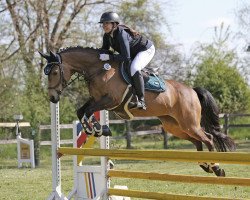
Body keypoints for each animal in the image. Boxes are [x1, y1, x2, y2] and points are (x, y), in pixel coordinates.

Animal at [39, 46, 236, 177]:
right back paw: (205, 164)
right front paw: (99, 129)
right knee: (197, 141)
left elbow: (88, 112)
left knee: (207, 138)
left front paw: (98, 128)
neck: (98, 70)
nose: (53, 98)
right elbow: (81, 111)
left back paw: (217, 167)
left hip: (189, 123)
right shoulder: (97, 100)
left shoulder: (111, 101)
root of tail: (192, 90)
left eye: (54, 72)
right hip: (175, 126)